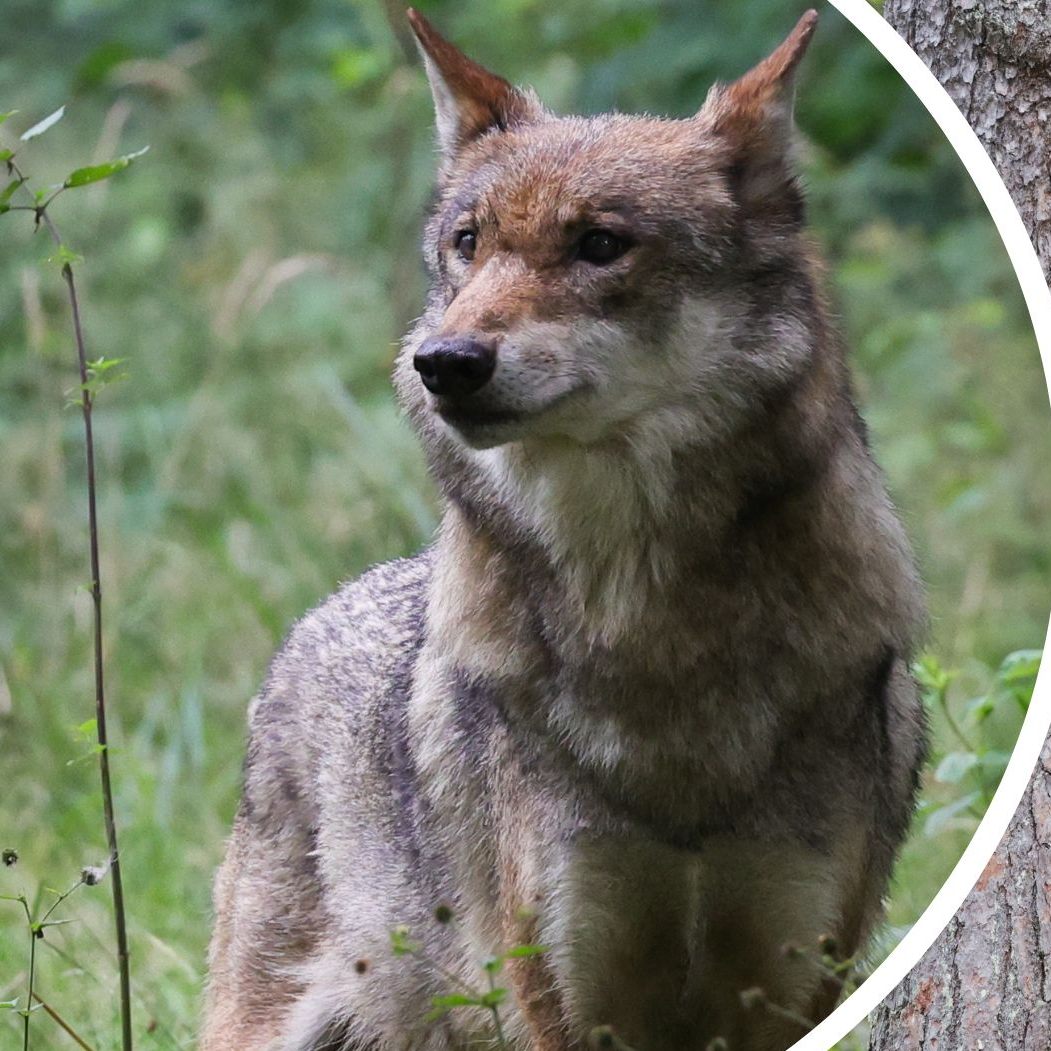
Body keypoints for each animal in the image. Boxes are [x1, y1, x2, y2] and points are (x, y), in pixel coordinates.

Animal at [202, 9, 927, 1051]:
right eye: (467, 243)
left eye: (599, 244)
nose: (442, 362)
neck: (654, 649)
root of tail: (316, 616)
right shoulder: (565, 993)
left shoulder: (792, 982)